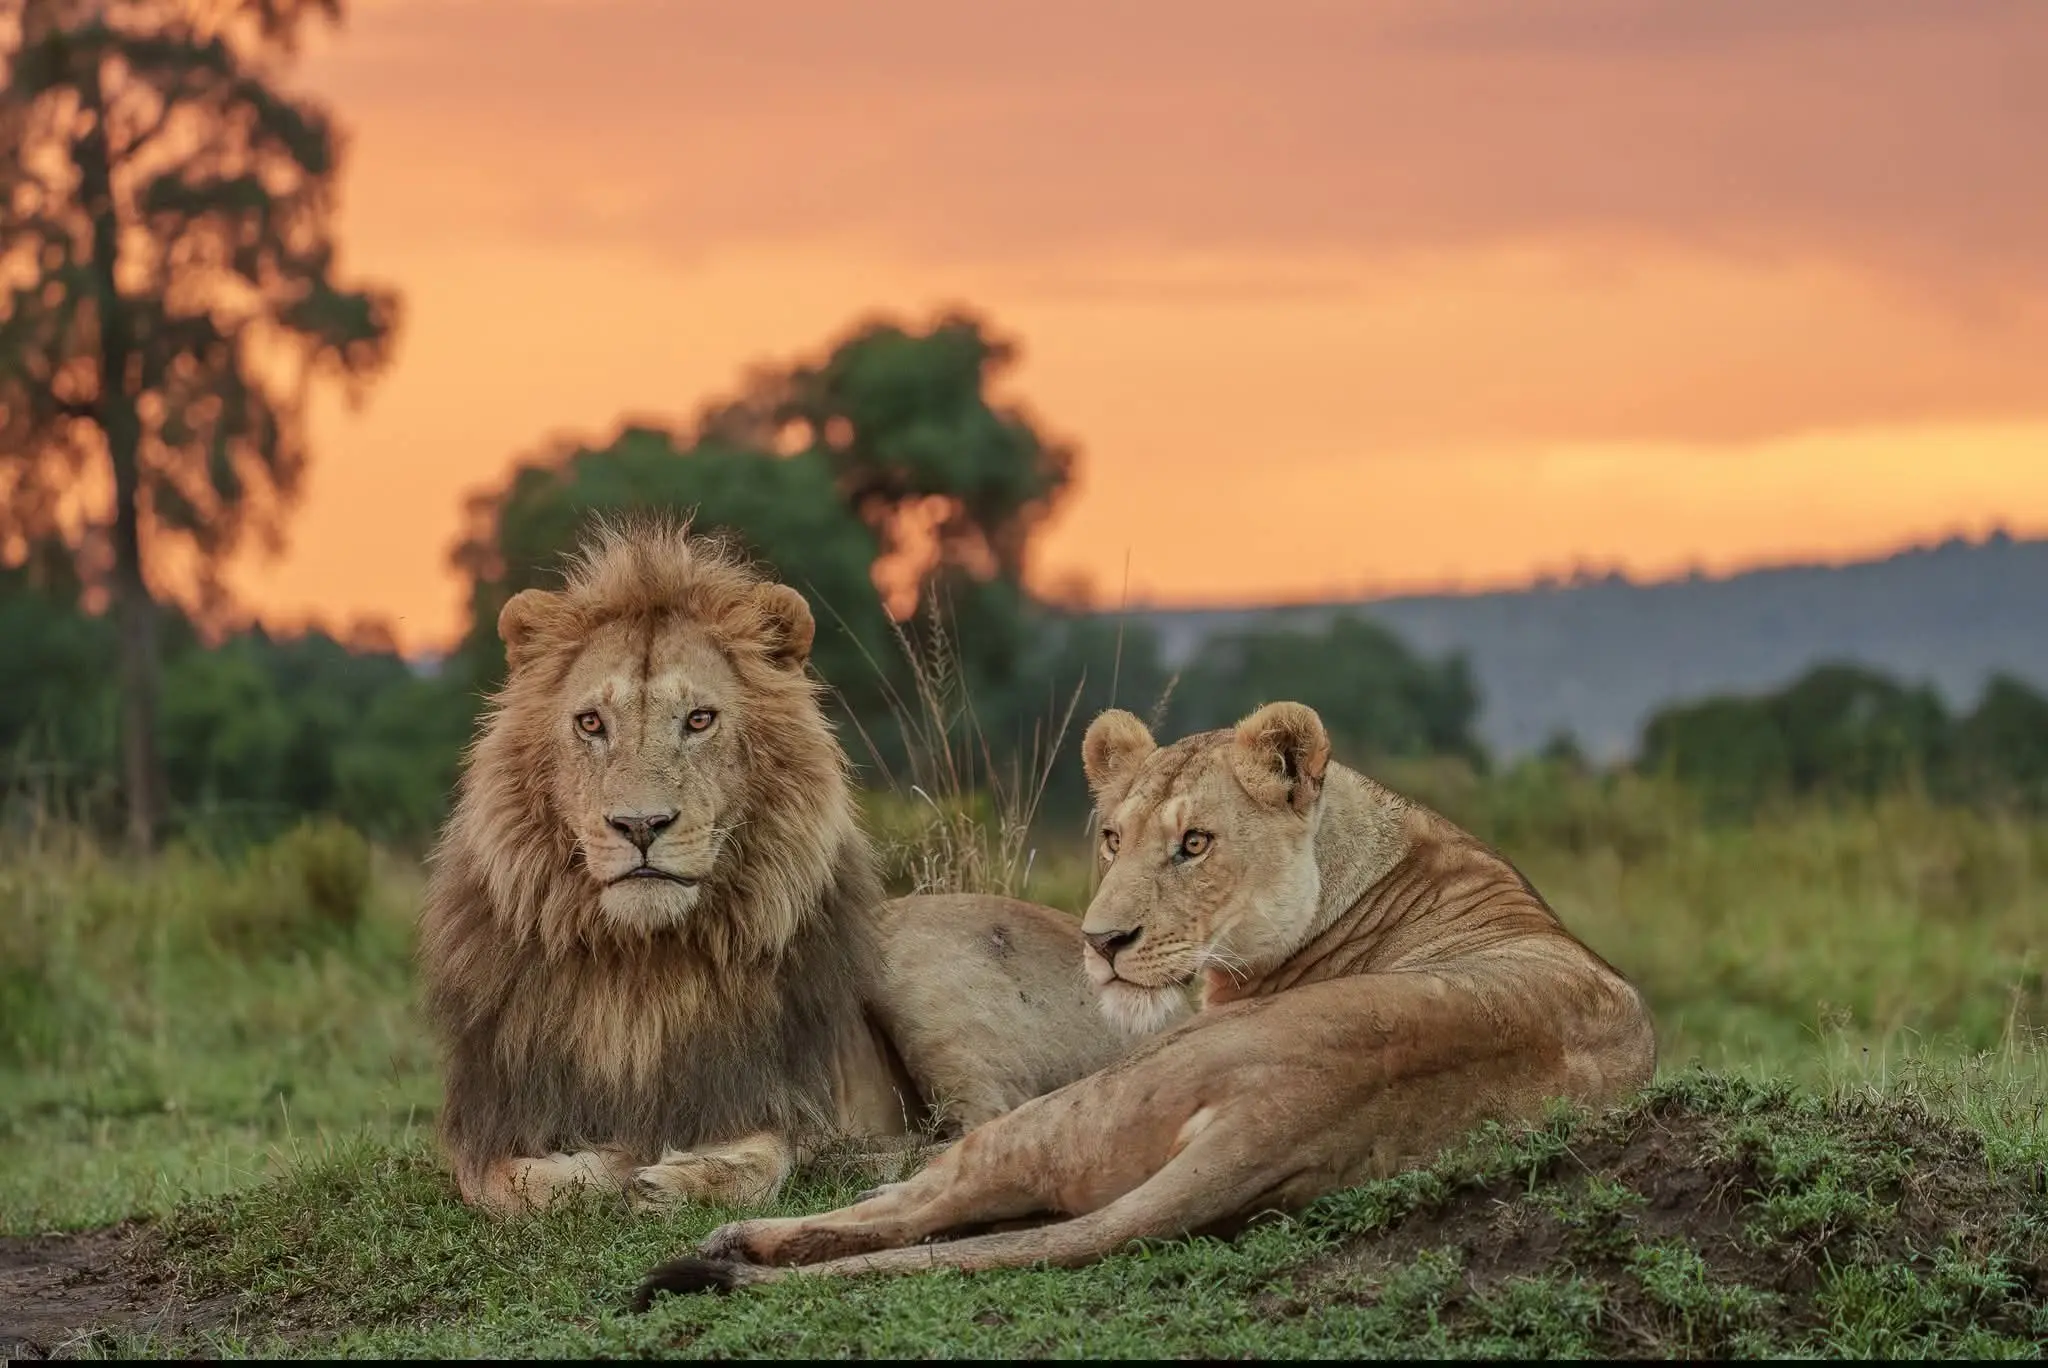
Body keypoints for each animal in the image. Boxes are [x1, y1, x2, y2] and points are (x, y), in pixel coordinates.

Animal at [417, 518, 1141, 1216]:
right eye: (591, 723)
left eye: (700, 719)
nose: (641, 826)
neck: (642, 969)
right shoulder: (491, 1119)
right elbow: (506, 1183)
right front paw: (603, 1166)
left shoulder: (770, 1097)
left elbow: (766, 1158)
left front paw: (674, 1177)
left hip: (913, 957)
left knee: (988, 1129)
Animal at [635, 700, 1656, 1298]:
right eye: (1112, 838)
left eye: (1195, 844)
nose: (1101, 944)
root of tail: (1277, 1112)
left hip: (1076, 1102)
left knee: (928, 1194)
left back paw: (737, 1233)